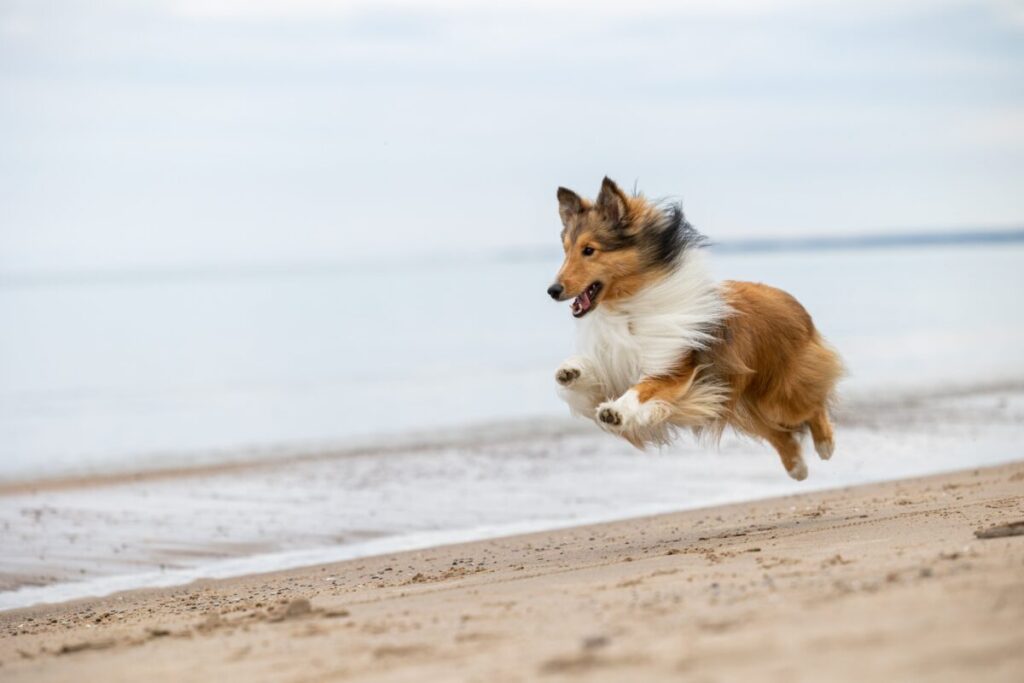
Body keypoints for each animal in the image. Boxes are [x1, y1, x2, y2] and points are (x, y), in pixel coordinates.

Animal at [548, 179, 843, 483]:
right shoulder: (618, 367)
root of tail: (793, 303)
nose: (552, 290)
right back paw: (797, 467)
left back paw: (825, 445)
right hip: (742, 403)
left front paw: (616, 411)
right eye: (566, 249)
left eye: (589, 250)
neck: (629, 308)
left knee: (812, 405)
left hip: (778, 394)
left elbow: (642, 388)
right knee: (779, 433)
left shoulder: (674, 369)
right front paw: (571, 371)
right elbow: (594, 373)